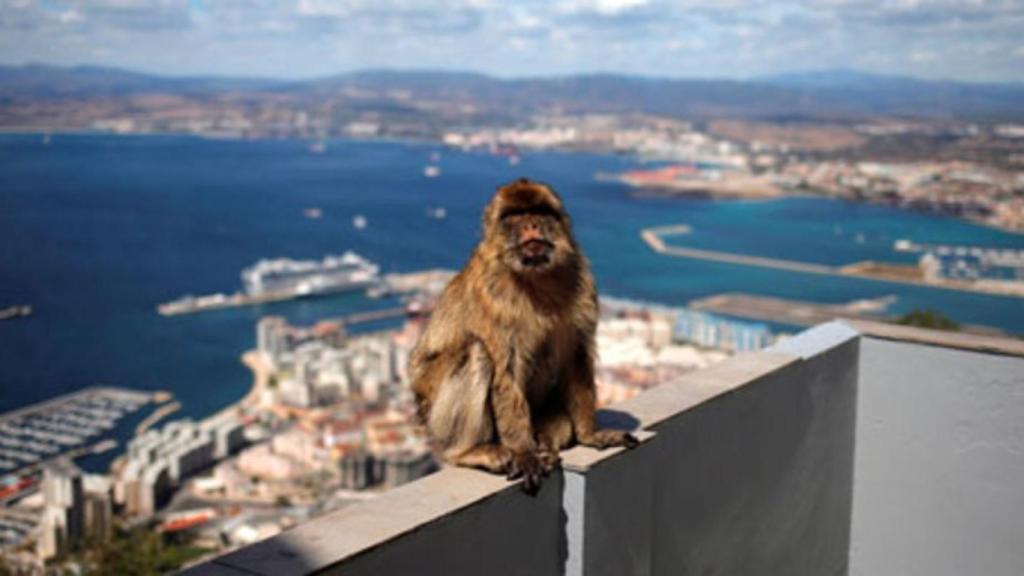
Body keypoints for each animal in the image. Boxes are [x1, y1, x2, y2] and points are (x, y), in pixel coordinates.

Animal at [409, 178, 638, 494]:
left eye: (538, 211)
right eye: (515, 215)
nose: (531, 224)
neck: (537, 277)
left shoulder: (582, 282)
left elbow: (576, 358)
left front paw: (590, 434)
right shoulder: (493, 297)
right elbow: (506, 371)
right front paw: (525, 454)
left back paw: (545, 441)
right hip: (434, 412)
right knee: (476, 351)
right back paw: (469, 451)